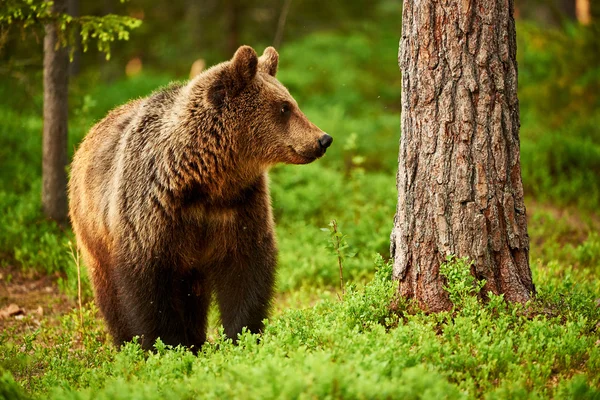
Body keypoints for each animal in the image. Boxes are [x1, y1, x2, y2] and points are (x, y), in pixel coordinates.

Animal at [69, 45, 332, 350]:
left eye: (291, 102)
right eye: (284, 107)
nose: (323, 139)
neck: (205, 180)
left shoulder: (239, 206)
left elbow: (246, 271)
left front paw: (241, 334)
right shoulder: (153, 213)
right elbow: (149, 284)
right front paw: (168, 344)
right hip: (93, 231)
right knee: (109, 291)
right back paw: (126, 341)